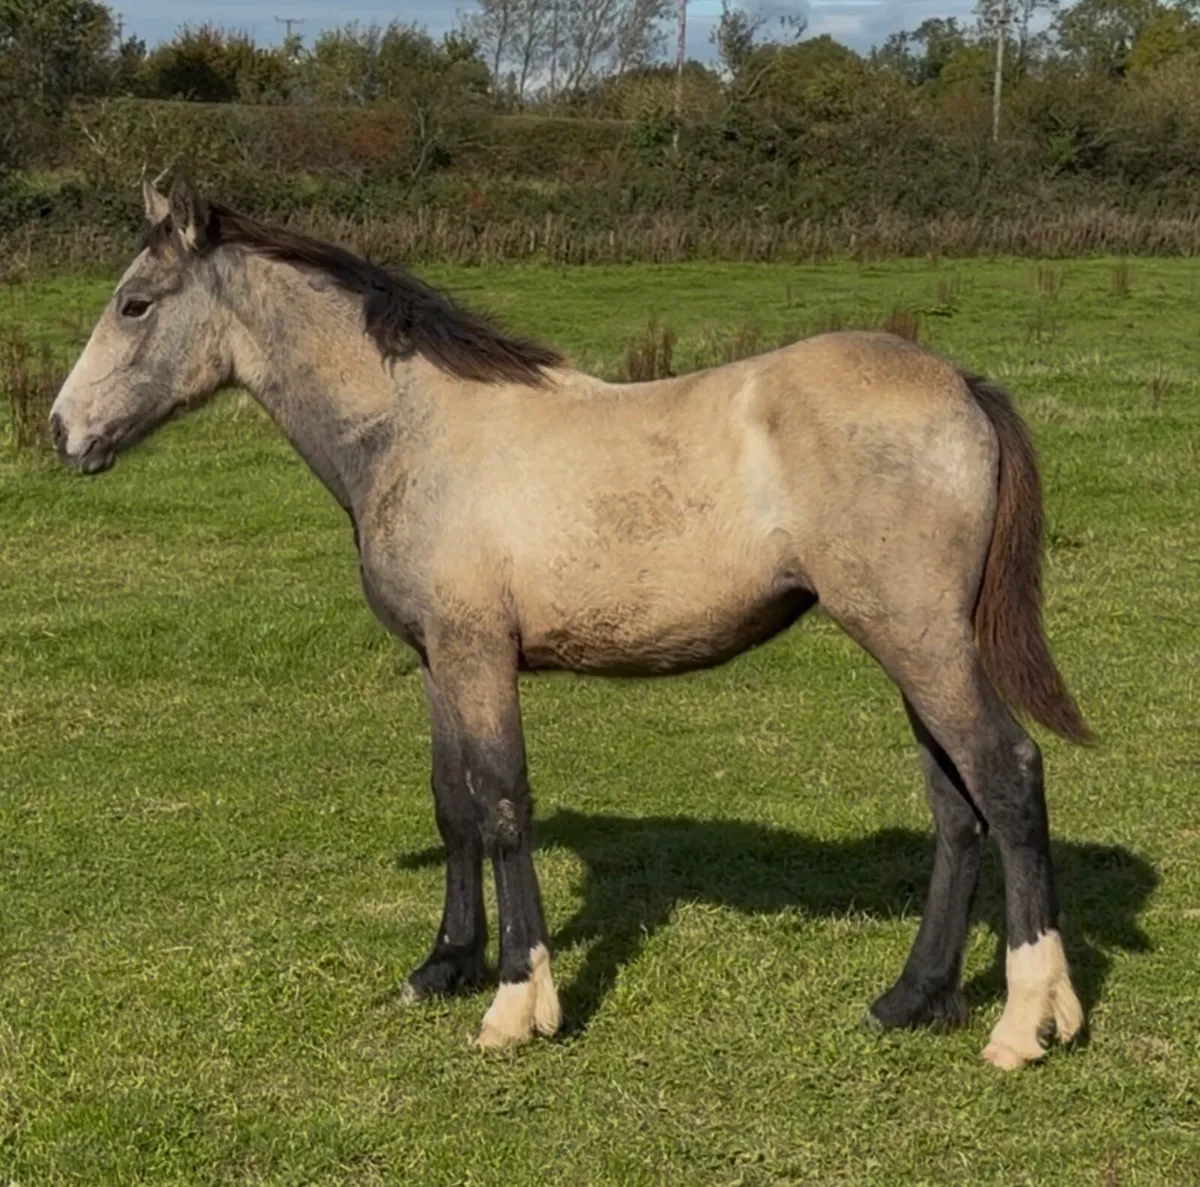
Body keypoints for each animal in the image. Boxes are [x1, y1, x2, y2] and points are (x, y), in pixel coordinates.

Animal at [49, 179, 1092, 1069]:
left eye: (135, 304)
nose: (62, 432)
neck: (416, 429)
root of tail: (961, 384)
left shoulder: (478, 655)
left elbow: (504, 802)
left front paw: (517, 1002)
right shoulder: (437, 660)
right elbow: (454, 803)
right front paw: (442, 965)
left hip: (918, 641)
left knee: (1006, 775)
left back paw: (1027, 1020)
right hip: (915, 646)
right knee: (956, 805)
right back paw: (913, 998)